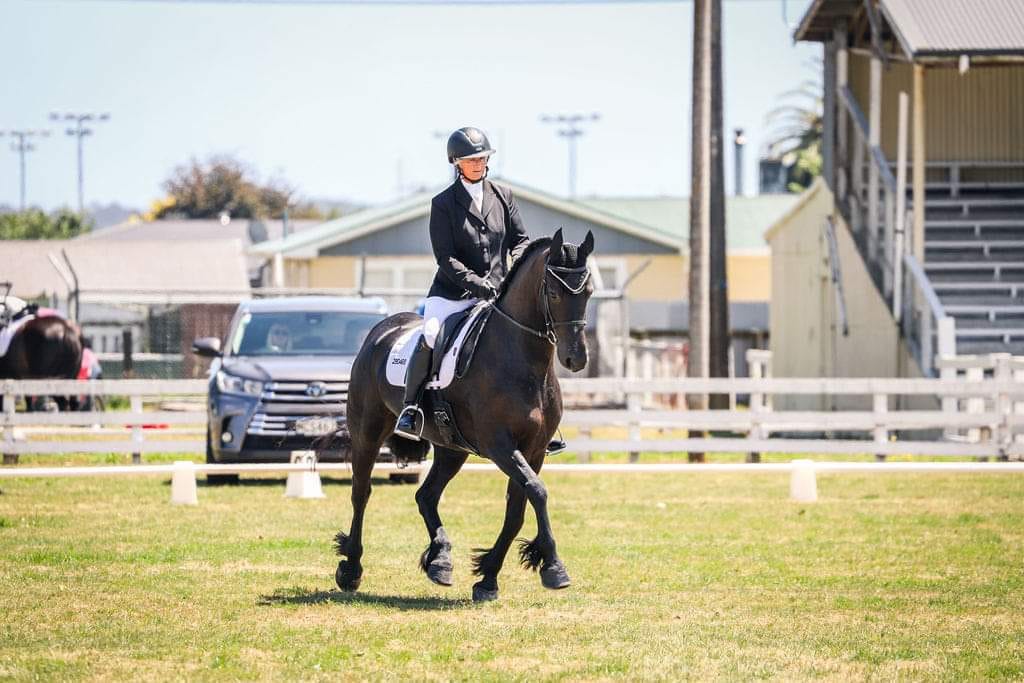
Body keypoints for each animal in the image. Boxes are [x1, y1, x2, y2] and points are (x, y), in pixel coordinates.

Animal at [334, 228, 595, 602]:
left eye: (588, 291)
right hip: (367, 430)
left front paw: (488, 577)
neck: (521, 358)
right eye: (555, 292)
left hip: (451, 448)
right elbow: (537, 491)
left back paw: (440, 560)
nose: (576, 358)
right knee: (361, 491)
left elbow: (519, 507)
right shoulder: (500, 445)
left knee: (426, 496)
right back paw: (351, 568)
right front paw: (553, 567)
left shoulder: (534, 450)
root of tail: (383, 328)